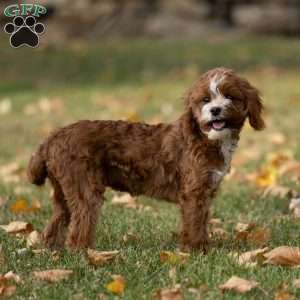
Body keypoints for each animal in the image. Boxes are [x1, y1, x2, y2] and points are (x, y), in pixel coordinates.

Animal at [27, 67, 264, 251]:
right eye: (205, 99)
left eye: (230, 97)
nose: (215, 110)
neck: (203, 137)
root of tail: (51, 139)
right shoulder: (194, 192)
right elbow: (195, 223)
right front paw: (197, 251)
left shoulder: (205, 192)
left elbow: (202, 220)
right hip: (85, 189)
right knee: (80, 225)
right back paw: (83, 253)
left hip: (64, 190)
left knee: (57, 220)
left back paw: (52, 249)